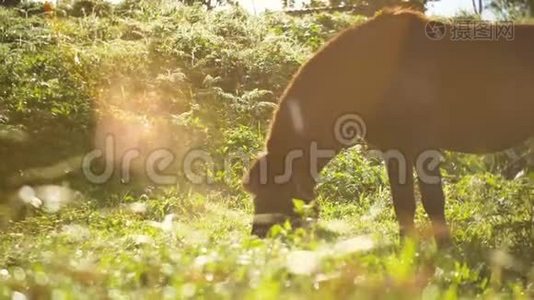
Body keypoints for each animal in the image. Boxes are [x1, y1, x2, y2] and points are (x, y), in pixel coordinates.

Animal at [245, 8, 534, 246]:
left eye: (273, 189)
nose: (257, 236)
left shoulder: (423, 147)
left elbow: (433, 200)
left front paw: (444, 248)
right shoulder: (394, 150)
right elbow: (403, 203)